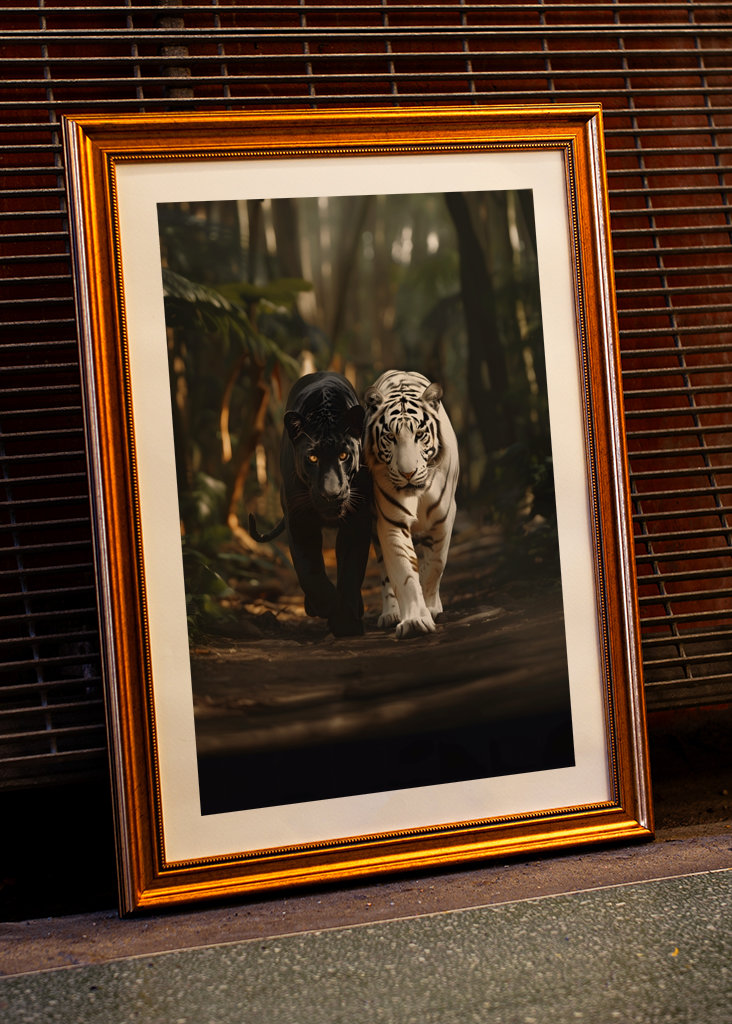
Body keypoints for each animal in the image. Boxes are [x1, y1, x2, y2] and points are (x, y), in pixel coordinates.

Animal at [363, 369, 459, 639]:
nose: (408, 473)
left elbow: (435, 565)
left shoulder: (444, 518)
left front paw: (430, 607)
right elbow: (404, 572)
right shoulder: (391, 522)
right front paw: (415, 620)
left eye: (419, 434)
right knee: (385, 573)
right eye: (390, 437)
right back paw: (390, 613)